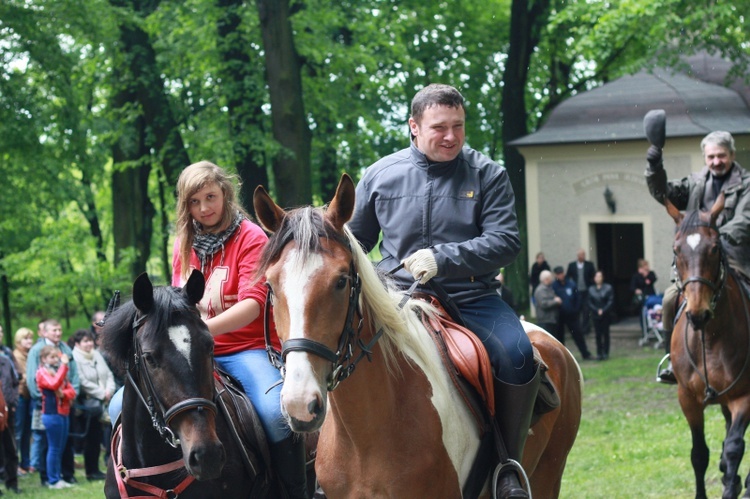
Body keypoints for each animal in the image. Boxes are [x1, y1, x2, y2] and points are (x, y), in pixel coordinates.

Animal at [668, 194, 750, 499]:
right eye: (676, 249)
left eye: (715, 248)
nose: (698, 313)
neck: (711, 338)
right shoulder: (687, 399)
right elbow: (699, 454)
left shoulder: (744, 396)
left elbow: (735, 447)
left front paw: (732, 484)